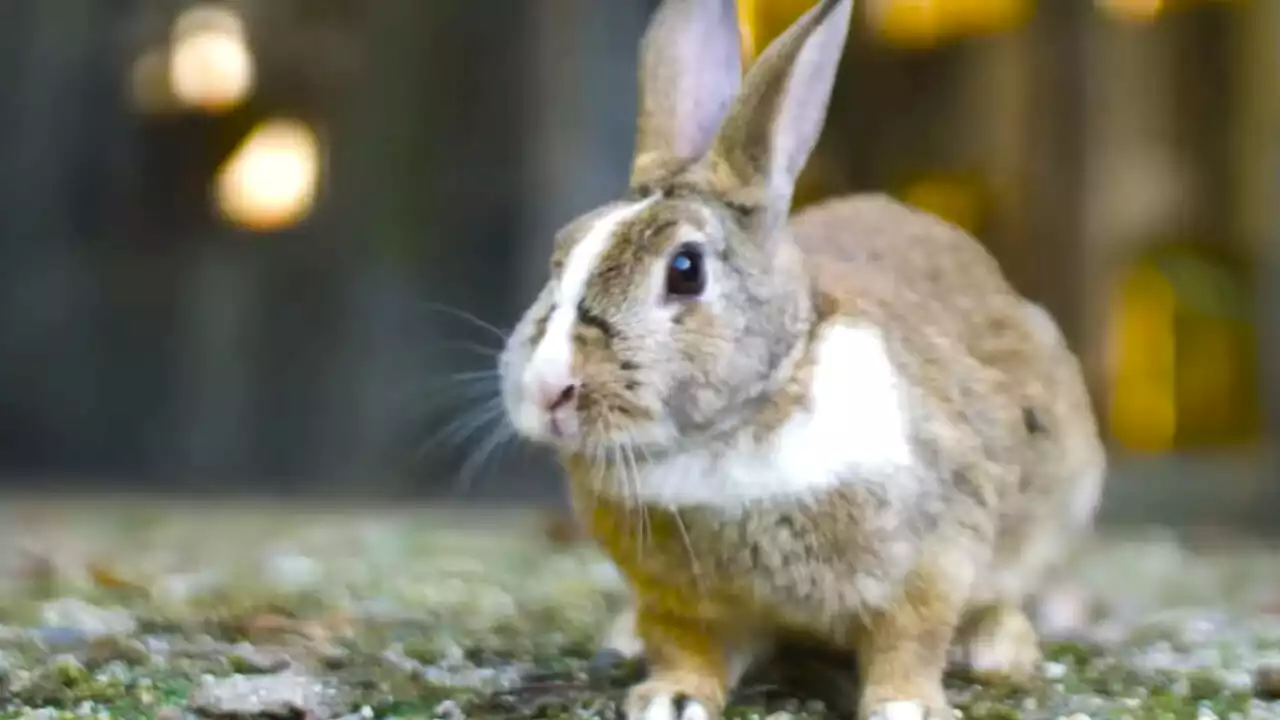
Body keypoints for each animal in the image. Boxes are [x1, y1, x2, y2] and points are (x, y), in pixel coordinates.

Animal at [494, 1, 1105, 717]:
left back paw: (995, 651)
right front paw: (670, 699)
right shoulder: (678, 600)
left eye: (685, 270)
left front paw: (905, 706)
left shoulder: (932, 555)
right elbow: (685, 646)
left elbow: (910, 640)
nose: (548, 391)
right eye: (561, 251)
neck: (740, 422)